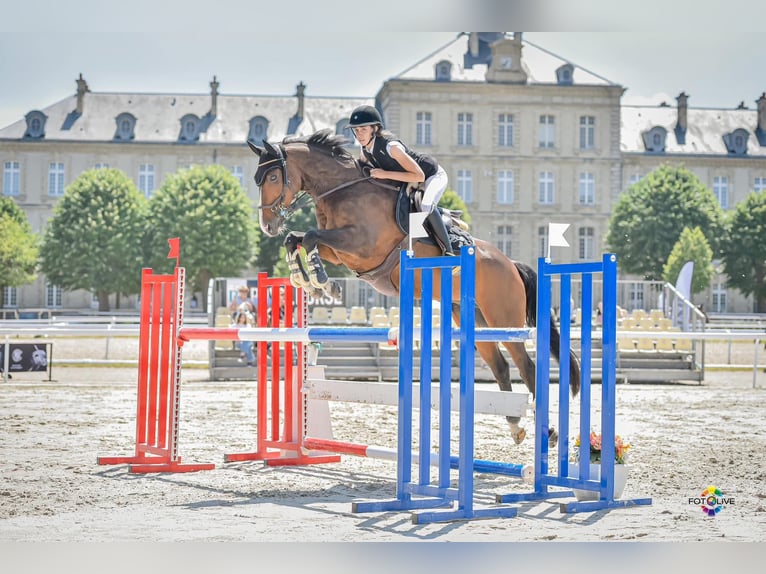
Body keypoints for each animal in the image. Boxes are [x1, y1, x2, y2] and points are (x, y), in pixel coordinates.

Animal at [249, 129, 580, 446]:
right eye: (257, 179)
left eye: (274, 177)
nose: (266, 226)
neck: (343, 190)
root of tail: (510, 263)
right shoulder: (345, 252)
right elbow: (296, 238)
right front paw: (308, 279)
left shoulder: (362, 245)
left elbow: (311, 237)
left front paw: (319, 279)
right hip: (474, 319)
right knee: (499, 366)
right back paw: (515, 426)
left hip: (504, 318)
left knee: (527, 367)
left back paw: (547, 432)